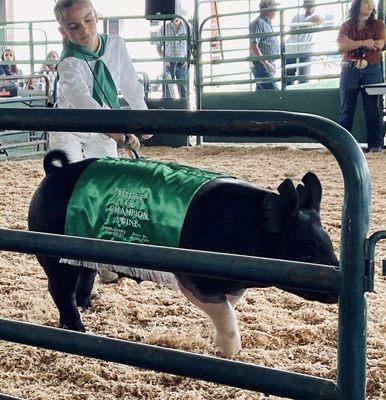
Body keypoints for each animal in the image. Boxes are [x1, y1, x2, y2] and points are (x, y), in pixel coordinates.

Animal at [28, 150, 338, 356]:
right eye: (307, 248)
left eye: (328, 241)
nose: (336, 291)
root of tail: (53, 173)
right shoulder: (194, 278)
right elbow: (224, 313)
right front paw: (230, 353)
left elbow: (229, 308)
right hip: (54, 255)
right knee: (60, 290)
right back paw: (78, 329)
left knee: (85, 275)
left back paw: (89, 304)